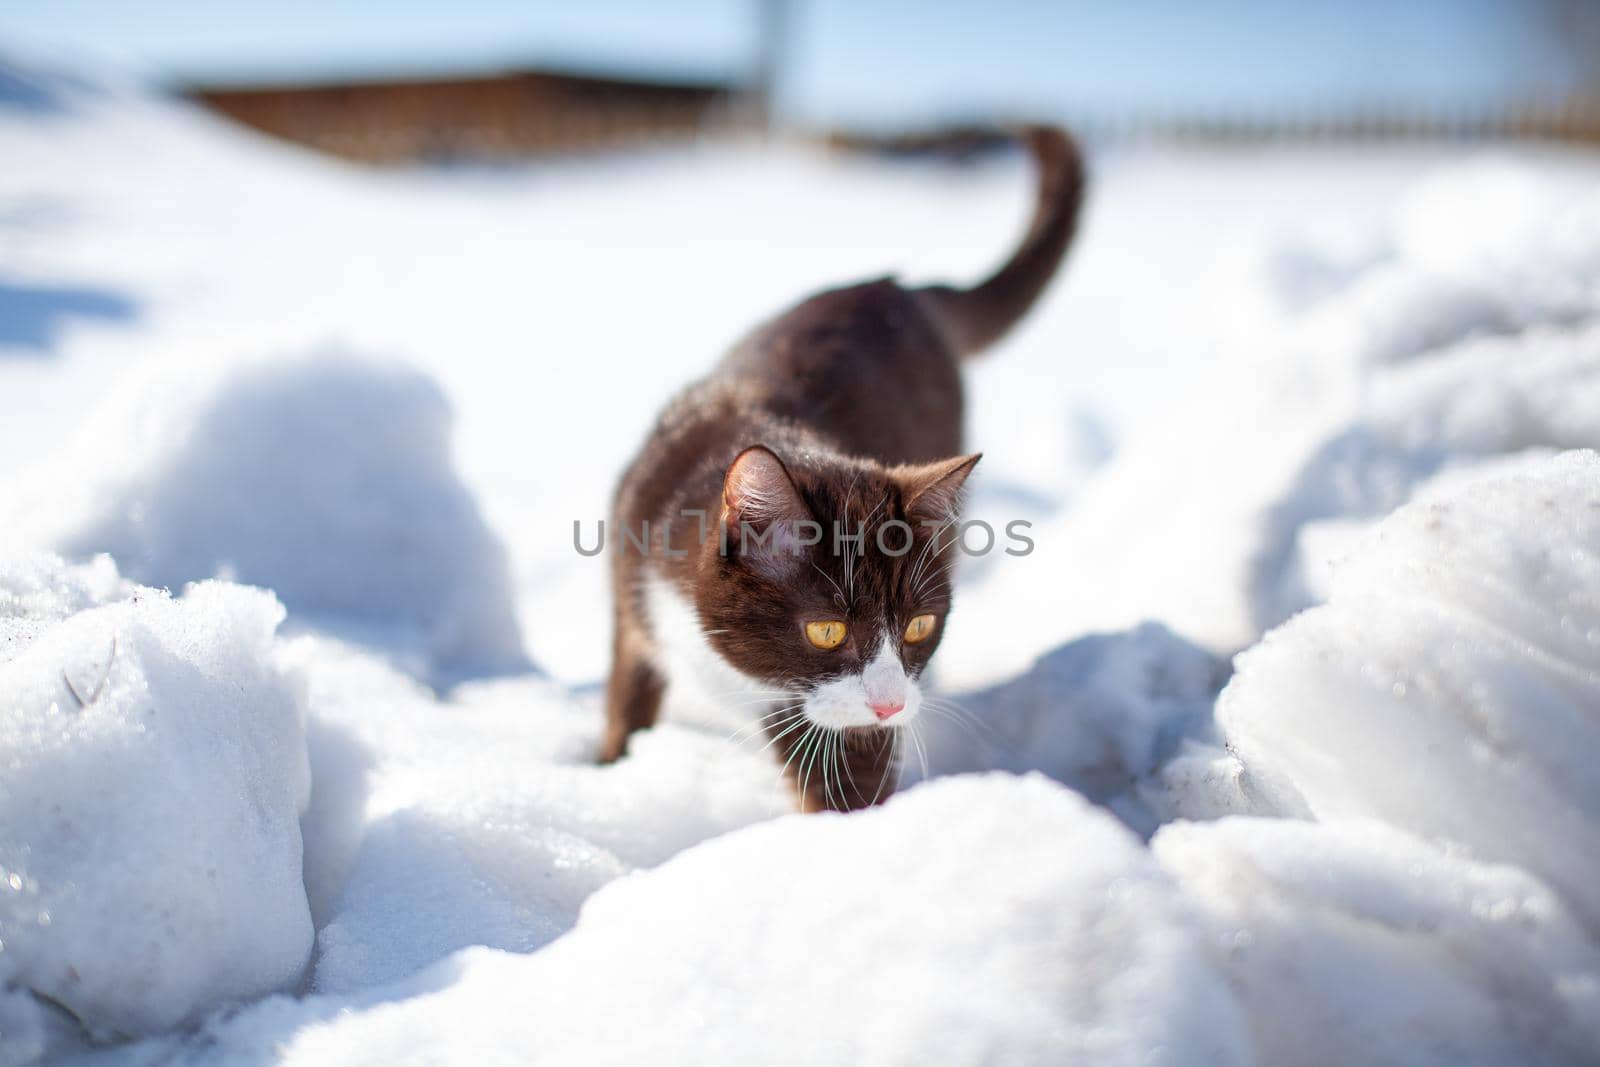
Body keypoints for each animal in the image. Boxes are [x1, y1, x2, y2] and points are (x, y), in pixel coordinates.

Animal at [601, 127, 1088, 809]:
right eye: (828, 632)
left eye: (919, 626)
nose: (891, 706)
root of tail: (902, 291)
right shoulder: (632, 570)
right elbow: (627, 693)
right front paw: (607, 764)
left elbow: (849, 773)